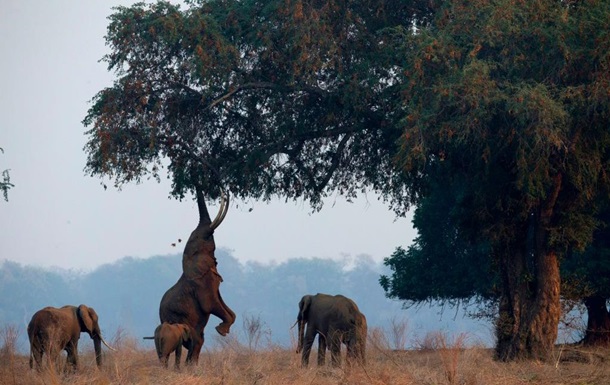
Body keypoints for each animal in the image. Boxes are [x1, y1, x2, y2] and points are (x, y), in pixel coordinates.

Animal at [159, 188, 235, 364]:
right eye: (203, 237)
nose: (225, 190)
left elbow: (223, 304)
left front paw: (223, 329)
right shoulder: (200, 284)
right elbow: (210, 304)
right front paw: (221, 330)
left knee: (198, 342)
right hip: (181, 320)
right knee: (196, 341)